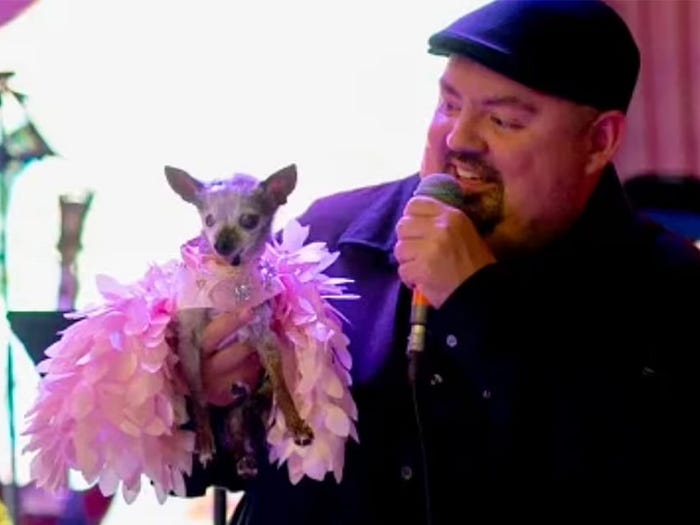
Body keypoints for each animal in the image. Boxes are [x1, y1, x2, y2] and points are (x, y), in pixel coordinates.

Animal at [164, 163, 314, 470]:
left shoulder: (265, 337)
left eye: (249, 220)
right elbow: (198, 396)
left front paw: (295, 424)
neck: (228, 276)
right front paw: (204, 440)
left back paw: (244, 457)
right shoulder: (189, 342)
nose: (221, 244)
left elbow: (281, 386)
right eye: (208, 220)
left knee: (239, 423)